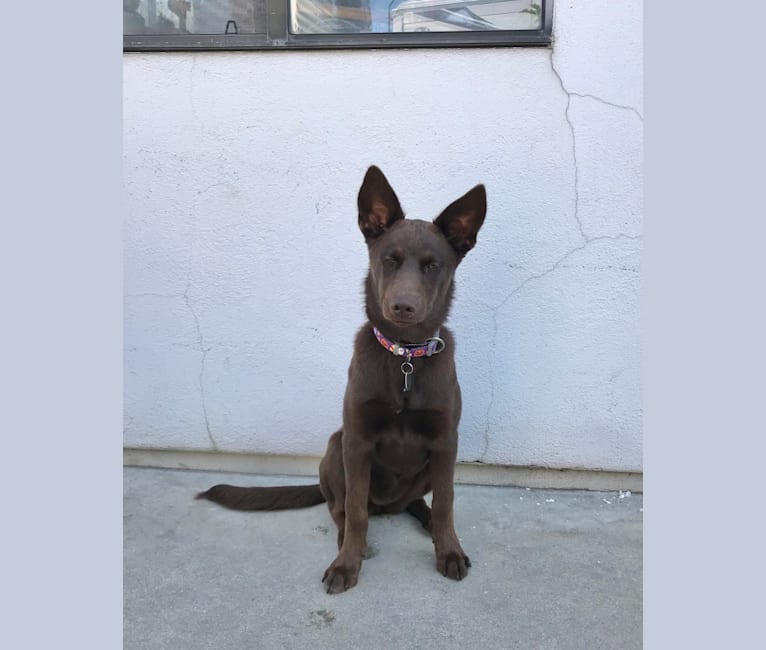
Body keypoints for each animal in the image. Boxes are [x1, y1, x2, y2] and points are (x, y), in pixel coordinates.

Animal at [198, 166, 486, 592]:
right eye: (389, 260)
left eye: (433, 266)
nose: (403, 306)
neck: (404, 358)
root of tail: (389, 505)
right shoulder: (357, 441)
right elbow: (354, 511)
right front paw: (347, 564)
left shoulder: (446, 442)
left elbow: (446, 504)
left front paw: (448, 550)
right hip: (335, 448)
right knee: (342, 509)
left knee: (419, 503)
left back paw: (424, 521)